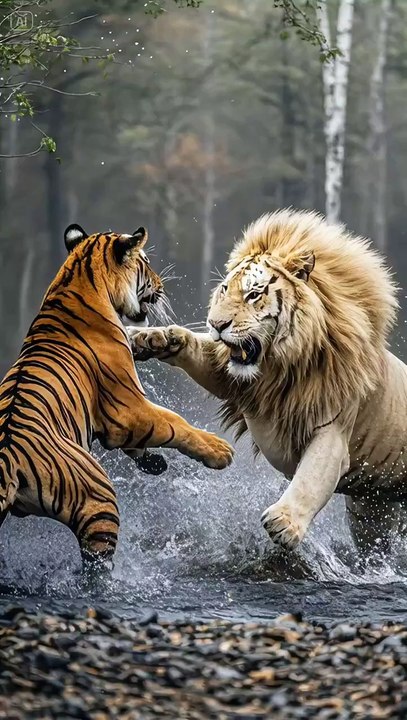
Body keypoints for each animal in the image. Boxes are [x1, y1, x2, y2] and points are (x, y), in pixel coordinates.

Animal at [0, 224, 233, 567]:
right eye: (145, 262)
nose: (162, 286)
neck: (75, 282)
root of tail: (9, 460)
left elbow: (140, 442)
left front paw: (155, 464)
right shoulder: (128, 407)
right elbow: (174, 424)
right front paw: (219, 451)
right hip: (97, 497)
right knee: (98, 565)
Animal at [130, 209, 407, 555]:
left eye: (253, 294)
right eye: (225, 290)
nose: (216, 324)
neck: (280, 366)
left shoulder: (333, 428)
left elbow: (311, 478)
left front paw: (284, 523)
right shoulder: (232, 379)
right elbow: (195, 347)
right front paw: (152, 339)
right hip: (372, 509)